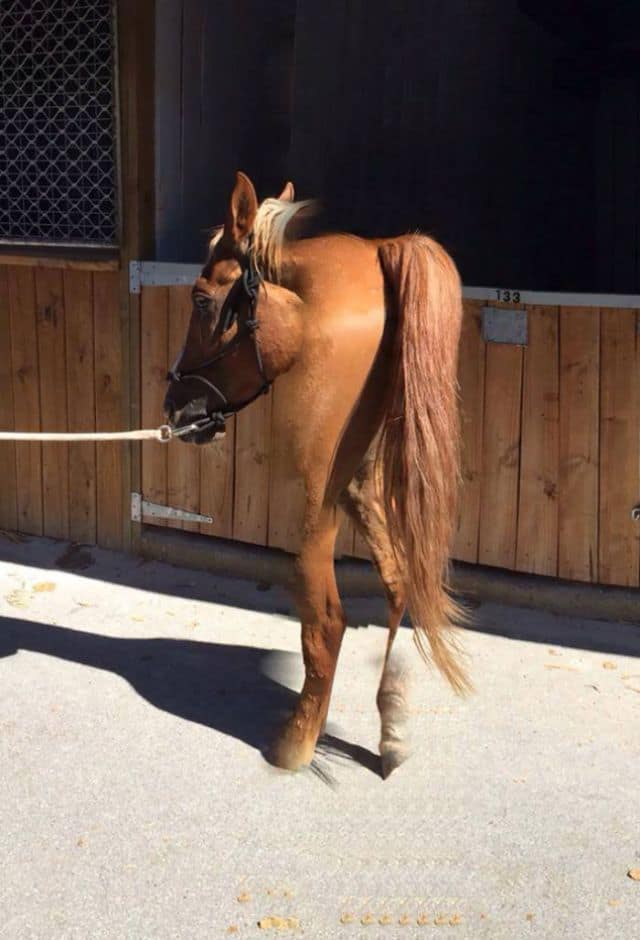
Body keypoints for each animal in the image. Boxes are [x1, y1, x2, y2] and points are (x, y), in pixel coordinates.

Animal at [164, 171, 470, 776]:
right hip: (358, 481)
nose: (176, 407)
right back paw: (389, 731)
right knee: (398, 582)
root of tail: (379, 250)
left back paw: (297, 743)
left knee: (326, 620)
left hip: (315, 497)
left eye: (202, 299)